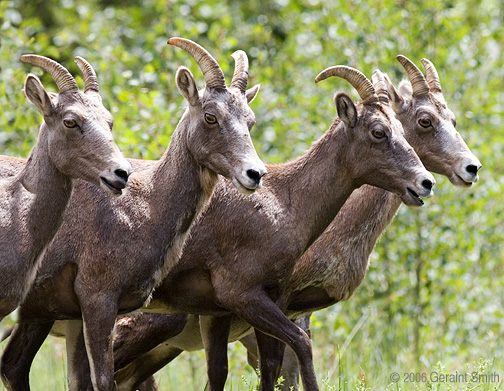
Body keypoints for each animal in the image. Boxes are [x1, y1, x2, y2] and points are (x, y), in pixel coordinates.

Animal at [106, 55, 480, 391]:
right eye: (423, 121)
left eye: (453, 119)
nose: (426, 182)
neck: (287, 200)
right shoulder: (265, 302)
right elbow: (290, 363)